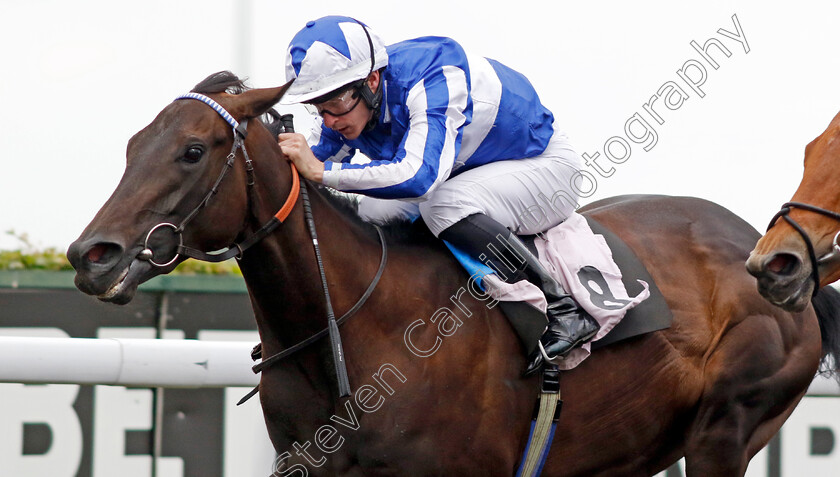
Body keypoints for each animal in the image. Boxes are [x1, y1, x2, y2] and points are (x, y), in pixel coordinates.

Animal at [69, 71, 840, 476]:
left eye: (192, 150)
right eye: (135, 145)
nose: (90, 255)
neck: (356, 330)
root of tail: (762, 251)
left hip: (724, 430)